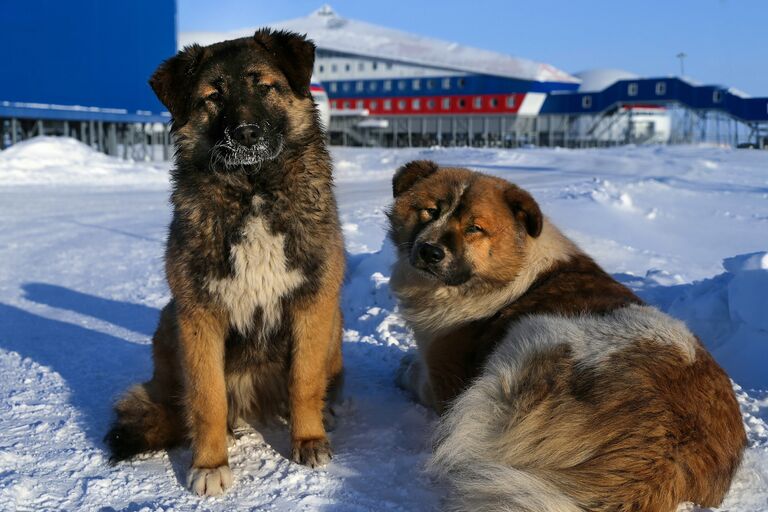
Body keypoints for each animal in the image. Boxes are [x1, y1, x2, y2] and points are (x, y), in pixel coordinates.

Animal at [103, 29, 344, 496]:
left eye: (265, 86)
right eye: (212, 97)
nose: (246, 134)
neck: (253, 192)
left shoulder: (313, 300)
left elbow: (304, 381)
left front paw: (309, 439)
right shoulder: (198, 314)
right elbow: (207, 398)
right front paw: (210, 464)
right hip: (168, 322)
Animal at [390, 161, 744, 512]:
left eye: (475, 228)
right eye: (429, 211)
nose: (430, 251)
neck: (509, 272)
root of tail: (669, 448)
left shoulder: (445, 381)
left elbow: (417, 377)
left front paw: (405, 368)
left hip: (533, 339)